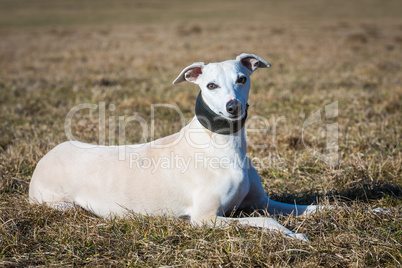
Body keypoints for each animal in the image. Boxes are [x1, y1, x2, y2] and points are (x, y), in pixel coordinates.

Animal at [31, 52, 326, 241]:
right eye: (211, 85)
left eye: (242, 79)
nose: (233, 107)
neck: (219, 144)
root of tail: (46, 156)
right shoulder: (205, 218)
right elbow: (265, 219)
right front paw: (294, 234)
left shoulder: (262, 202)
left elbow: (308, 207)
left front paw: (329, 209)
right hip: (63, 204)